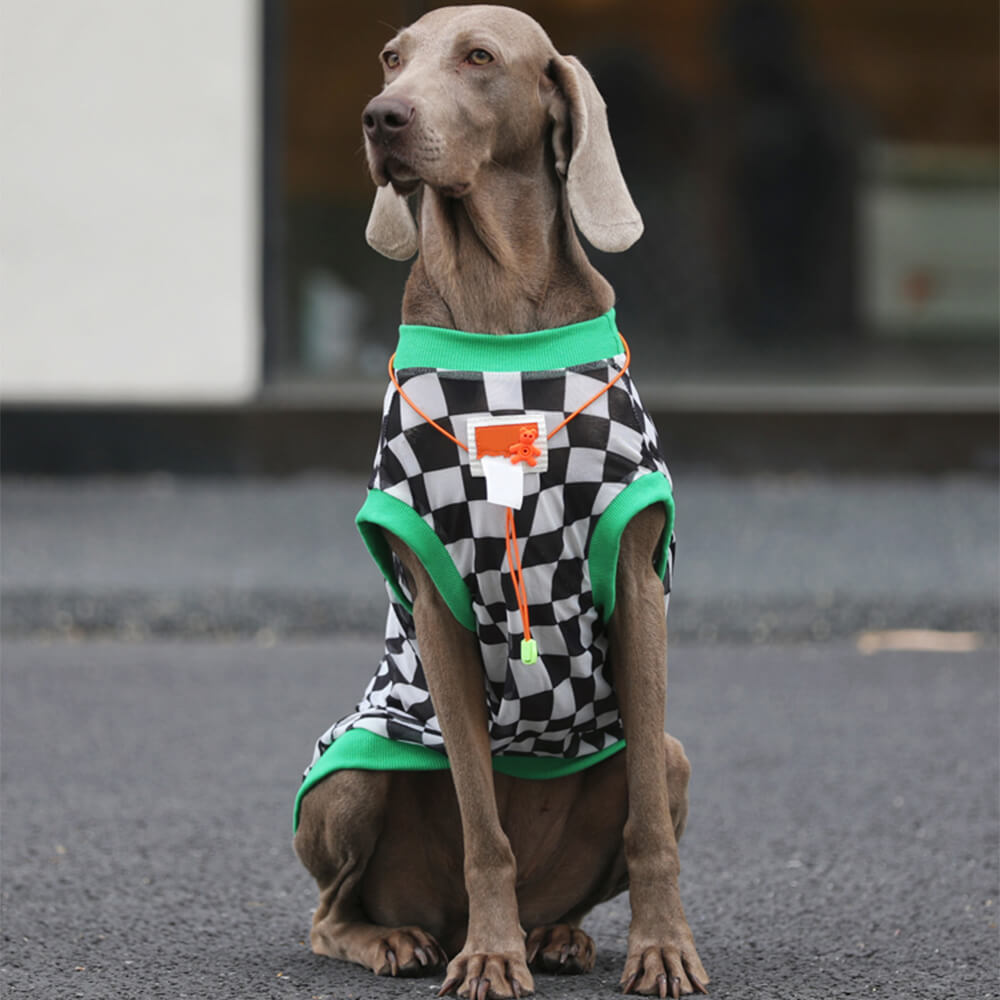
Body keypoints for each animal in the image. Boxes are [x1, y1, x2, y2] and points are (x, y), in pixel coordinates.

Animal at [292, 3, 708, 996]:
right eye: (392, 58)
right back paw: (407, 940)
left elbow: (646, 826)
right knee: (329, 913)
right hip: (349, 771)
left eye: (479, 57)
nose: (381, 118)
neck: (502, 318)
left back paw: (556, 934)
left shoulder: (637, 583)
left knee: (615, 833)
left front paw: (663, 946)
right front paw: (490, 955)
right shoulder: (437, 609)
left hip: (670, 757)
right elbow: (484, 825)